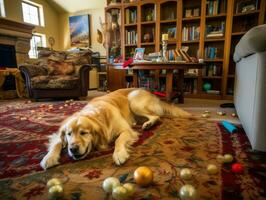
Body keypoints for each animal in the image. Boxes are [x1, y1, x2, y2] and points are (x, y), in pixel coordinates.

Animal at [39, 88, 190, 169]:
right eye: (69, 134)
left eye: (84, 133)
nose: (73, 149)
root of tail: (152, 94)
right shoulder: (59, 134)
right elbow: (57, 143)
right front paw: (49, 158)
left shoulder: (125, 131)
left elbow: (119, 140)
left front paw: (119, 154)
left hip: (134, 101)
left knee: (157, 116)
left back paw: (149, 124)